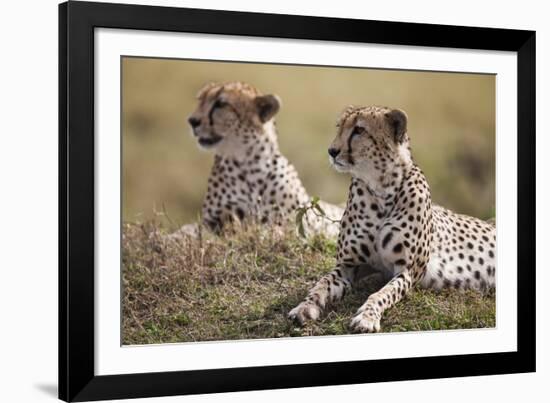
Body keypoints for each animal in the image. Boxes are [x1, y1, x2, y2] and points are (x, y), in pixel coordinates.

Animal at [177, 83, 342, 237]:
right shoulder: (214, 219)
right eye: (200, 100)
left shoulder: (298, 221)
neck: (247, 161)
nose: (192, 121)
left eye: (221, 104)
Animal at [292, 105, 498, 332]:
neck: (381, 190)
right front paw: (304, 307)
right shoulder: (348, 265)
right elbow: (320, 284)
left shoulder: (408, 270)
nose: (332, 151)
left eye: (359, 130)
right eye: (339, 127)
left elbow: (381, 294)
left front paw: (367, 317)